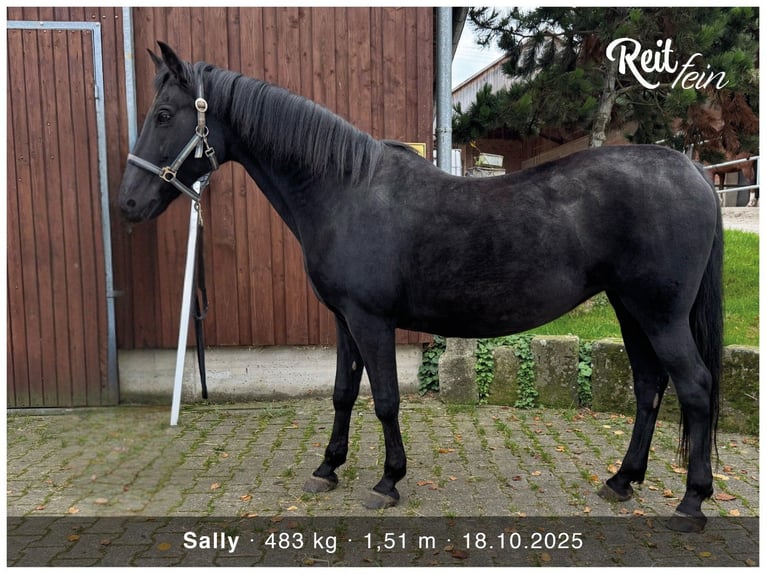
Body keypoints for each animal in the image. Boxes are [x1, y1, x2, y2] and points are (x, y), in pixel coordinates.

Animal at [118, 43, 723, 533]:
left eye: (165, 114)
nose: (127, 203)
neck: (346, 190)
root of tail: (692, 172)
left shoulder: (371, 321)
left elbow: (385, 399)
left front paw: (388, 481)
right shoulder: (344, 320)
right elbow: (343, 393)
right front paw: (327, 468)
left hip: (660, 315)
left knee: (694, 387)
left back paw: (691, 502)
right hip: (630, 309)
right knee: (648, 387)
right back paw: (622, 481)